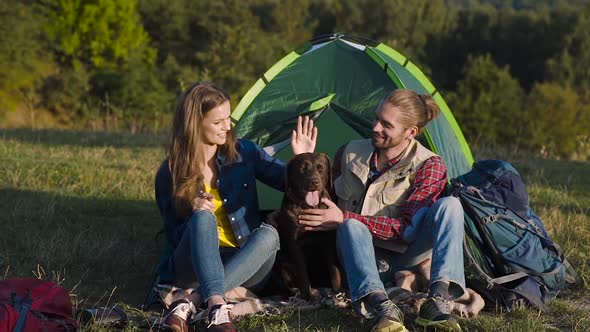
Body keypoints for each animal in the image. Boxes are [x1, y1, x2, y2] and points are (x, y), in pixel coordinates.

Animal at [276, 153, 344, 300]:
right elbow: (302, 269)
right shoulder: (294, 242)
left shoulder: (330, 239)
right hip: (282, 263)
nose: (314, 181)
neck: (309, 207)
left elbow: (333, 267)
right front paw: (307, 295)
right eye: (302, 168)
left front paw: (337, 291)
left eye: (321, 168)